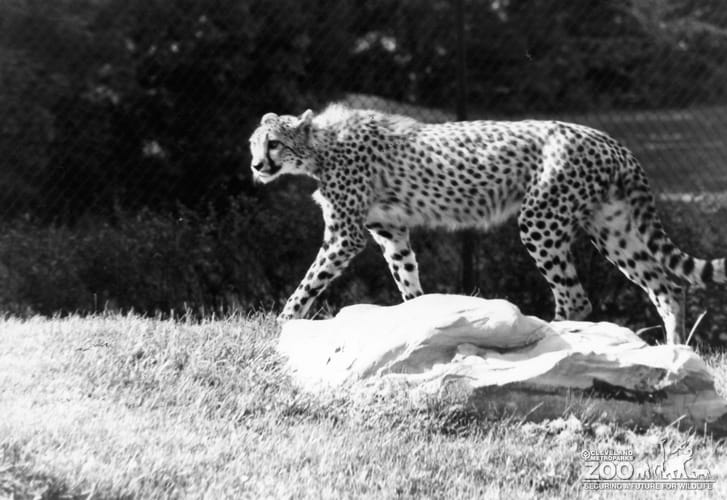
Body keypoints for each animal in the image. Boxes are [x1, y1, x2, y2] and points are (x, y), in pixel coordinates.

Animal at [248, 104, 726, 343]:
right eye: (254, 143)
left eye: (274, 143)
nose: (255, 166)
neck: (318, 145)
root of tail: (607, 138)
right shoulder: (390, 230)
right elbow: (407, 277)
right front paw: (417, 320)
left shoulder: (344, 235)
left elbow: (310, 280)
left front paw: (282, 322)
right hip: (612, 228)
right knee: (667, 286)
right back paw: (674, 356)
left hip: (541, 219)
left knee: (577, 297)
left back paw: (552, 335)